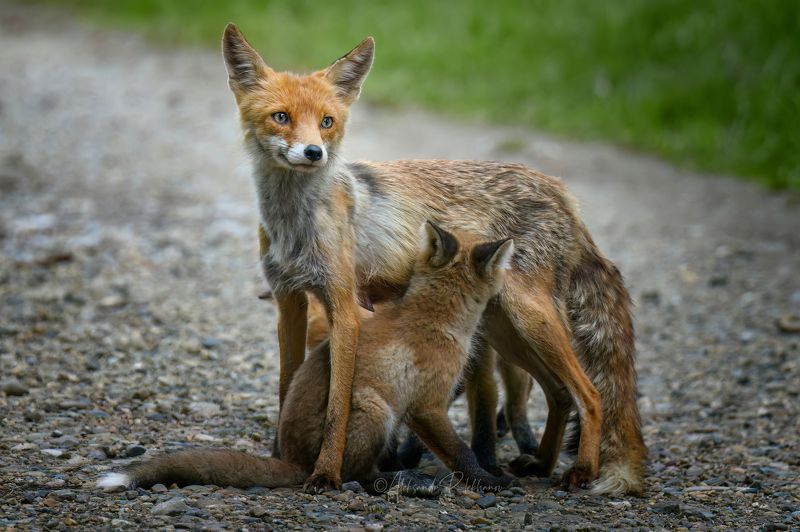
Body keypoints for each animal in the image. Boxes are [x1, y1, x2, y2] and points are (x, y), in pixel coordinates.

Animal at [98, 223, 515, 494]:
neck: (433, 315)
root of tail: (297, 462)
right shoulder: (427, 406)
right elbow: (460, 452)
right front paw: (489, 481)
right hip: (374, 409)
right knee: (359, 474)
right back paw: (392, 480)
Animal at [224, 24, 646, 495]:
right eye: (281, 117)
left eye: (326, 123)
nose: (315, 153)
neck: (295, 225)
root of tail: (563, 193)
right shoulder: (290, 303)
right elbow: (286, 389)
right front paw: (279, 459)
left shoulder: (345, 309)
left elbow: (338, 405)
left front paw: (325, 473)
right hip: (505, 330)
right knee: (558, 393)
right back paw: (540, 463)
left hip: (529, 319)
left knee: (590, 394)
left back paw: (582, 470)